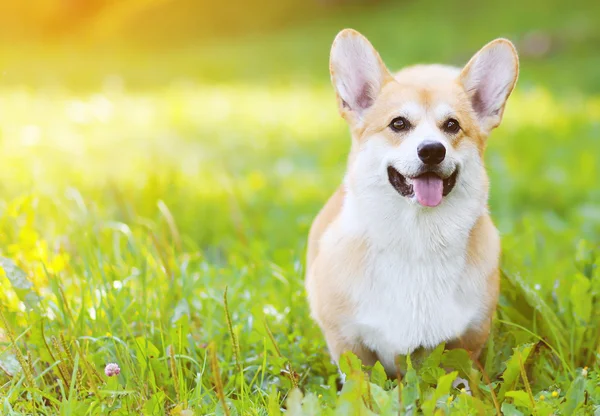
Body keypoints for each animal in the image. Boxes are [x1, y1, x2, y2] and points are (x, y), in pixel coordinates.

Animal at [308, 27, 516, 376]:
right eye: (398, 124)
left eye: (452, 125)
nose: (432, 150)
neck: (417, 238)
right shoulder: (347, 343)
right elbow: (361, 379)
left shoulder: (468, 343)